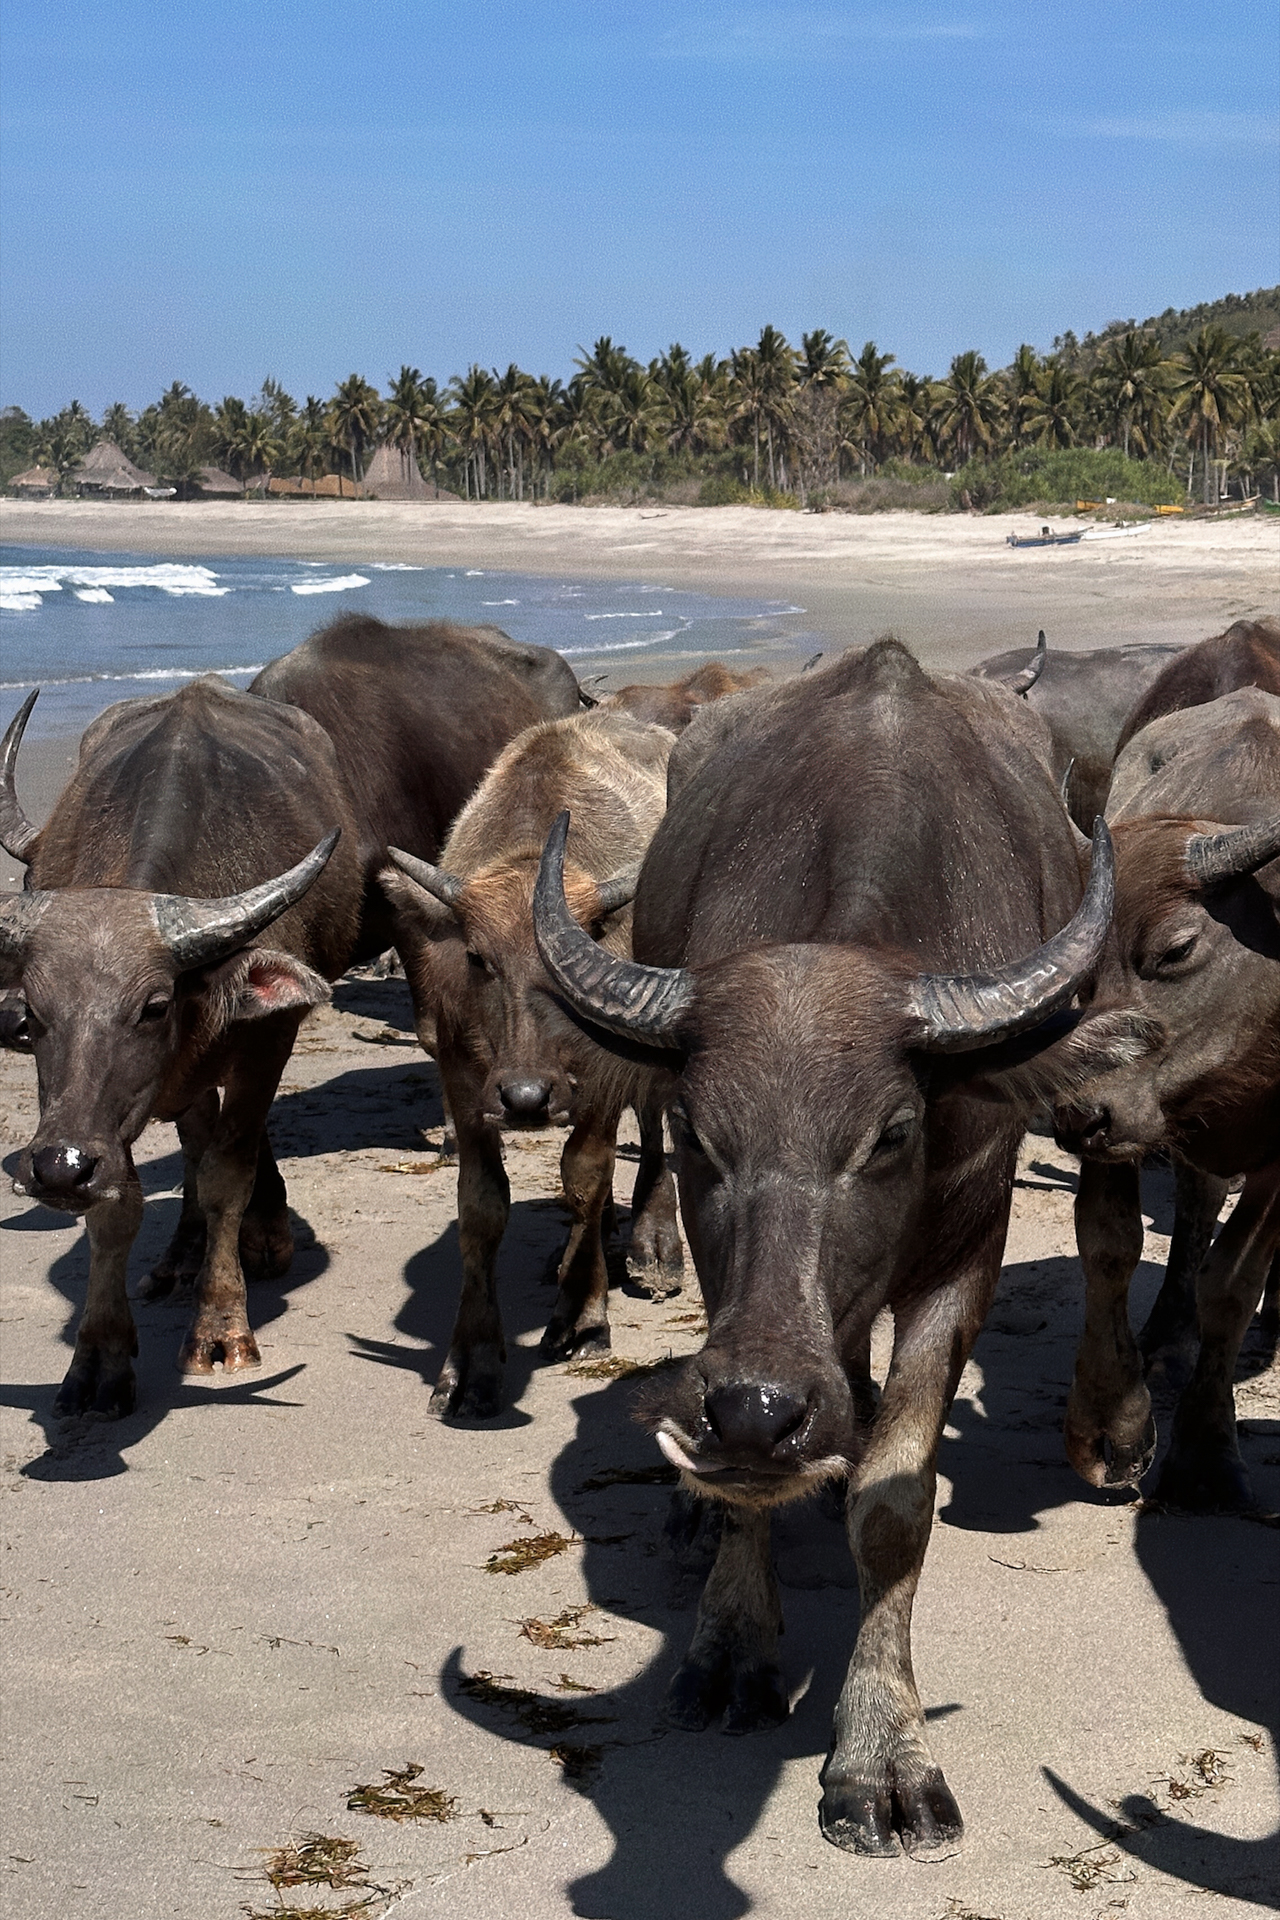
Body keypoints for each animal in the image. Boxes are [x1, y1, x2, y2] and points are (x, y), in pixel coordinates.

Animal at [0, 678, 361, 1413]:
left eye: (154, 1006)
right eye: (37, 1012)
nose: (58, 1168)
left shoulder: (266, 1043)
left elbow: (228, 1174)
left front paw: (221, 1331)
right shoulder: (105, 1115)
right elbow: (121, 1204)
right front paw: (98, 1358)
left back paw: (260, 1237)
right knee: (193, 1142)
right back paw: (180, 1257)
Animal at [532, 640, 1150, 1856]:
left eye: (892, 1133)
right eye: (697, 1133)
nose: (758, 1408)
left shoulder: (967, 1246)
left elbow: (895, 1503)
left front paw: (880, 1756)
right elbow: (744, 1492)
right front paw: (729, 1646)